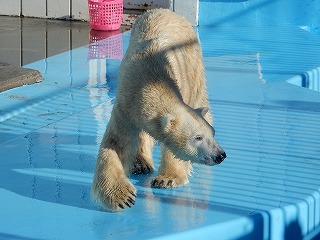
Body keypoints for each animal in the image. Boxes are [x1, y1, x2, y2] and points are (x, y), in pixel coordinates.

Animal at [90, 8, 226, 211]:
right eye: (198, 138)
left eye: (212, 134)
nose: (220, 155)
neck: (149, 81)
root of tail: (168, 11)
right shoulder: (125, 105)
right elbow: (115, 144)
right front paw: (122, 197)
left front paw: (167, 179)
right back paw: (140, 164)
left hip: (193, 64)